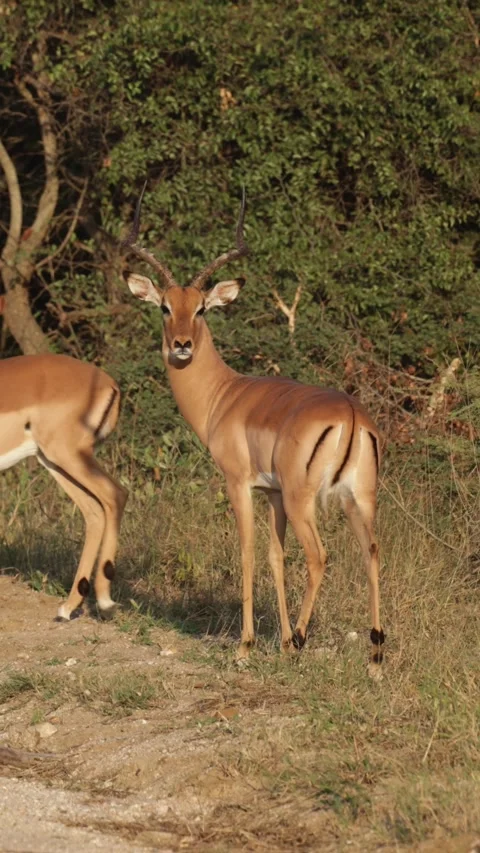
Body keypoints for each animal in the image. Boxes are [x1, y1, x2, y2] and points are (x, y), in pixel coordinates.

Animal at [0, 353, 128, 620]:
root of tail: (109, 383)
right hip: (54, 461)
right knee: (94, 511)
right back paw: (68, 608)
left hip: (66, 455)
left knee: (115, 494)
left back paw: (104, 602)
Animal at [123, 187, 384, 673]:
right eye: (166, 306)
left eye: (201, 308)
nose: (181, 345)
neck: (223, 395)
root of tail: (350, 414)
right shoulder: (273, 494)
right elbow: (275, 557)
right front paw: (278, 640)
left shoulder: (239, 483)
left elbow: (246, 552)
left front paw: (248, 645)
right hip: (357, 498)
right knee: (371, 551)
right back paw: (375, 650)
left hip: (307, 501)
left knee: (320, 556)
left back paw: (302, 638)